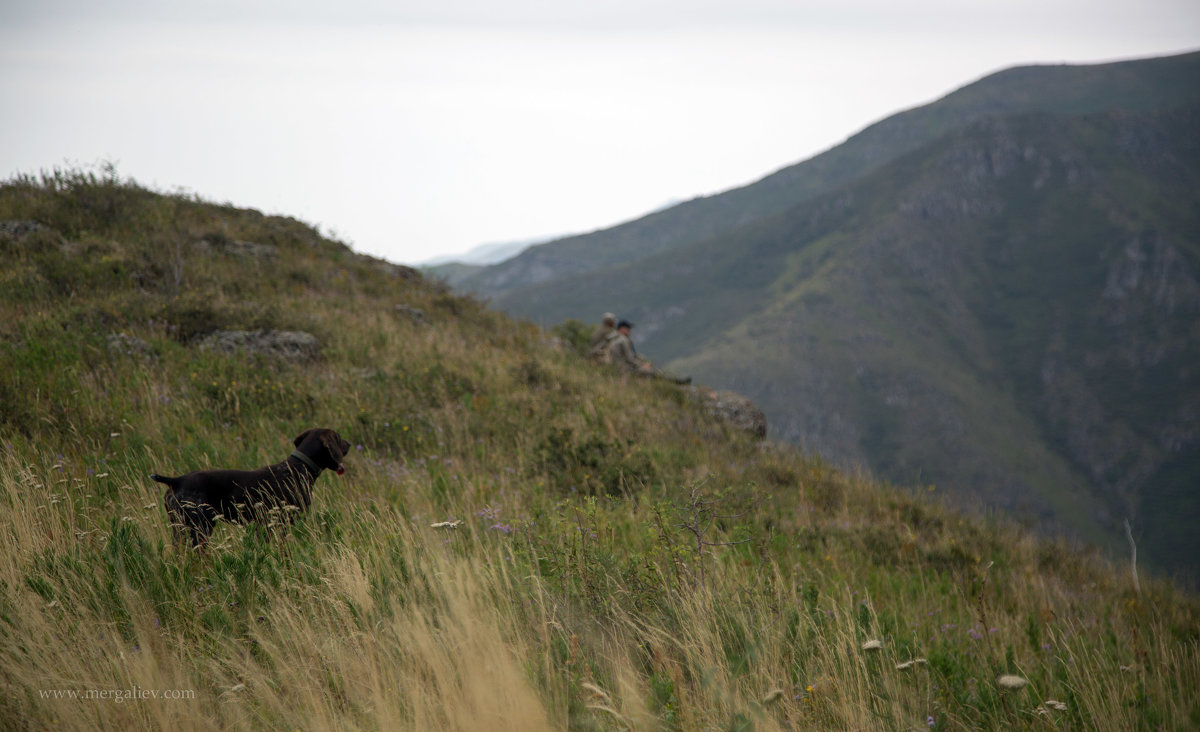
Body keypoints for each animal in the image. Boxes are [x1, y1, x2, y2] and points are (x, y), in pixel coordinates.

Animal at [147, 427, 350, 547]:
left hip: (180, 529)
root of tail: (176, 480)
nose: (349, 444)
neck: (298, 467)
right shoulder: (282, 524)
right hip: (200, 528)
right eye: (339, 438)